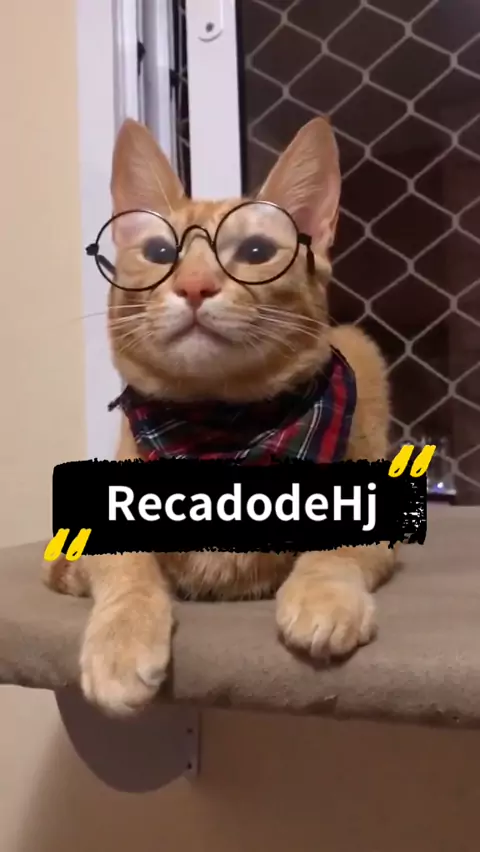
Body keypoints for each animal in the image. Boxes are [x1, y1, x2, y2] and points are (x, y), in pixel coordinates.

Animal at [43, 116, 397, 717]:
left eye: (255, 250)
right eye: (159, 250)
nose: (193, 287)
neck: (215, 433)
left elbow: (337, 552)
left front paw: (322, 598)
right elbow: (127, 569)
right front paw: (121, 642)